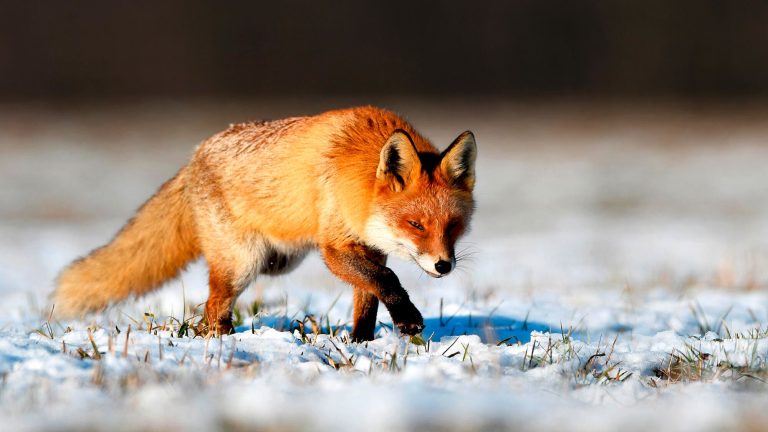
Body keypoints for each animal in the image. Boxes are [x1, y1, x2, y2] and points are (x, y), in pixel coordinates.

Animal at [53, 106, 476, 341]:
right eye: (416, 224)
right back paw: (222, 341)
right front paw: (408, 320)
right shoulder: (334, 247)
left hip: (275, 261)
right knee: (212, 307)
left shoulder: (371, 248)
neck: (354, 171)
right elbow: (386, 281)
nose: (443, 265)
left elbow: (368, 297)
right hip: (244, 264)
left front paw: (361, 343)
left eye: (453, 226)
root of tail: (194, 156)